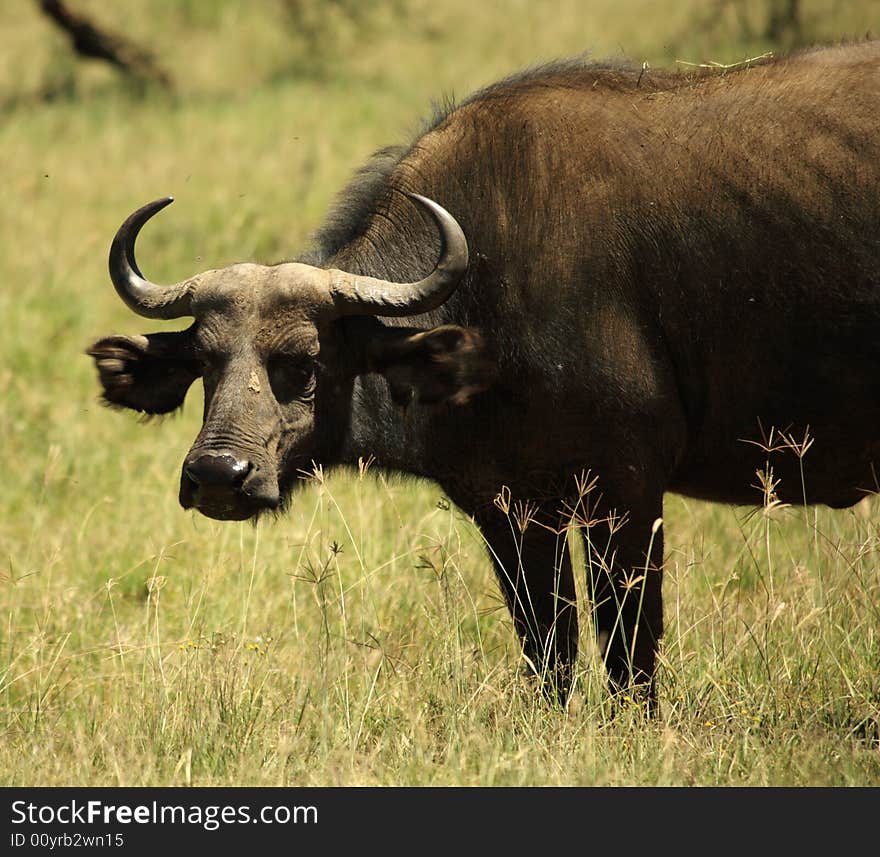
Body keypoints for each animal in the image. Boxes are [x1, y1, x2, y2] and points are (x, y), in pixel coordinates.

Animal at [89, 41, 880, 708]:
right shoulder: (509, 509)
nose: (218, 475)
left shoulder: (627, 494)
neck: (495, 301)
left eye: (303, 364)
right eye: (203, 361)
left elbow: (628, 644)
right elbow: (548, 646)